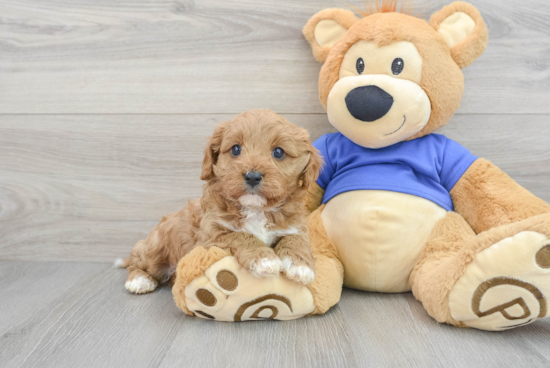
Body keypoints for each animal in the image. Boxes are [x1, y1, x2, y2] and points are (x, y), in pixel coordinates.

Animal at [118, 108, 322, 294]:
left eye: (279, 152)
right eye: (236, 149)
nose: (252, 176)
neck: (256, 209)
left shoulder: (293, 225)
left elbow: (297, 239)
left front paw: (301, 266)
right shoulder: (210, 237)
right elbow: (239, 235)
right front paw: (264, 259)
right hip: (156, 247)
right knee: (138, 261)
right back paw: (139, 280)